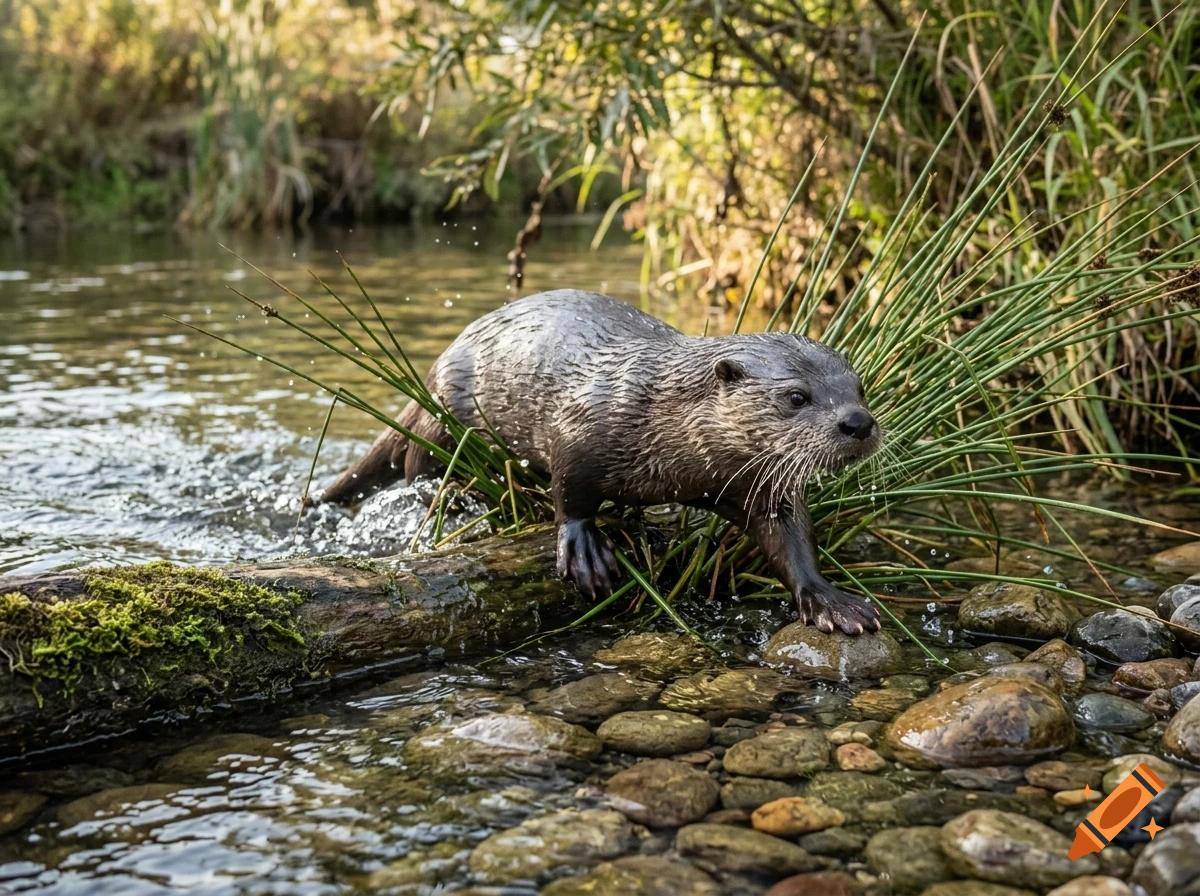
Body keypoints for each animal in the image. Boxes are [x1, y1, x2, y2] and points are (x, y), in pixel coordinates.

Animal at [321, 289, 882, 635]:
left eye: (859, 388)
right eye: (796, 397)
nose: (858, 423)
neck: (660, 414)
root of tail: (432, 374)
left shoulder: (753, 483)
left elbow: (790, 539)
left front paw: (831, 601)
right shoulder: (582, 425)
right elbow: (570, 492)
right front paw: (584, 550)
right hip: (443, 424)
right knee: (423, 474)